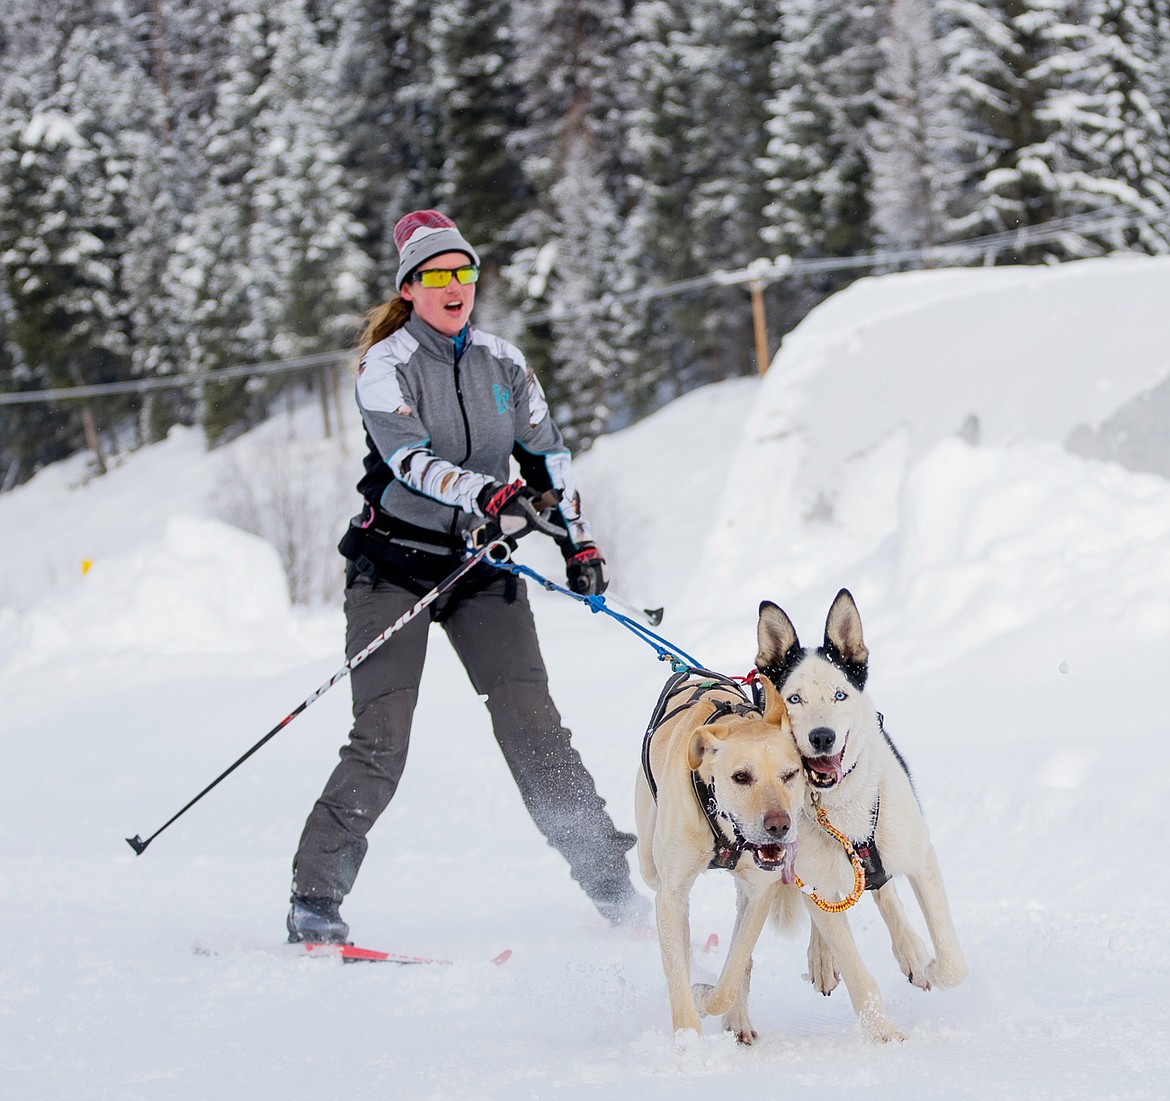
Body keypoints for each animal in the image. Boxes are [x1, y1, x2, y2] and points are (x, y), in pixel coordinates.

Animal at [636, 669, 809, 1038]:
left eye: (790, 774)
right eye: (741, 776)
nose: (779, 825)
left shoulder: (759, 893)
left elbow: (732, 972)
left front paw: (705, 998)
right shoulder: (671, 895)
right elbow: (677, 970)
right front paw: (687, 1040)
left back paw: (738, 1020)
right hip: (648, 862)